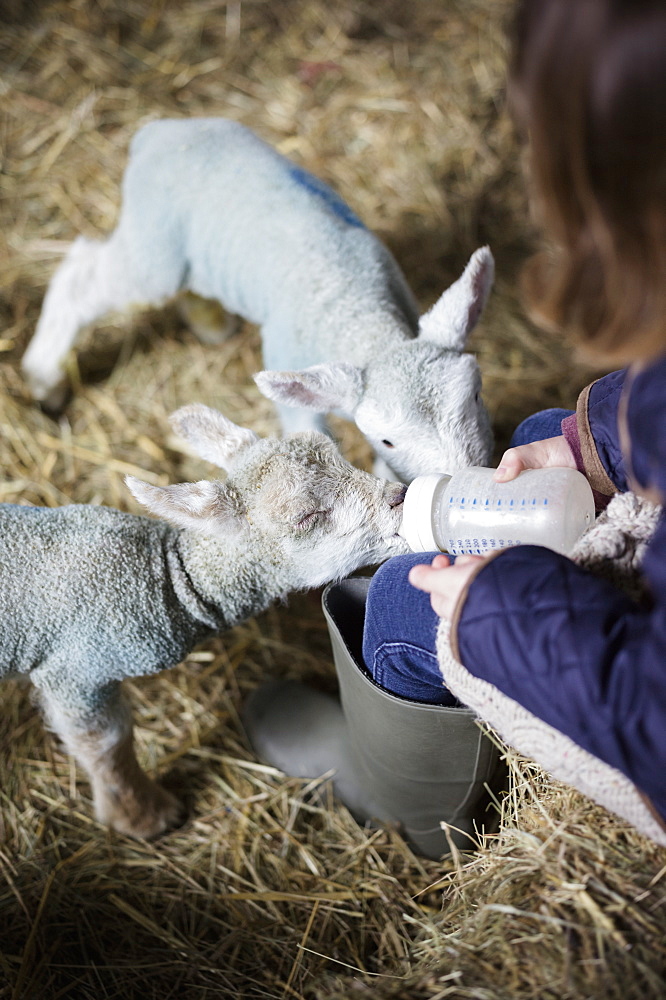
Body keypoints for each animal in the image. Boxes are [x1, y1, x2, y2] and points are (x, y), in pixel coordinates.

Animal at [0, 404, 404, 836]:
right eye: (306, 516)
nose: (400, 496)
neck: (166, 580)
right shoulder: (75, 671)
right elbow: (107, 743)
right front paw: (141, 816)